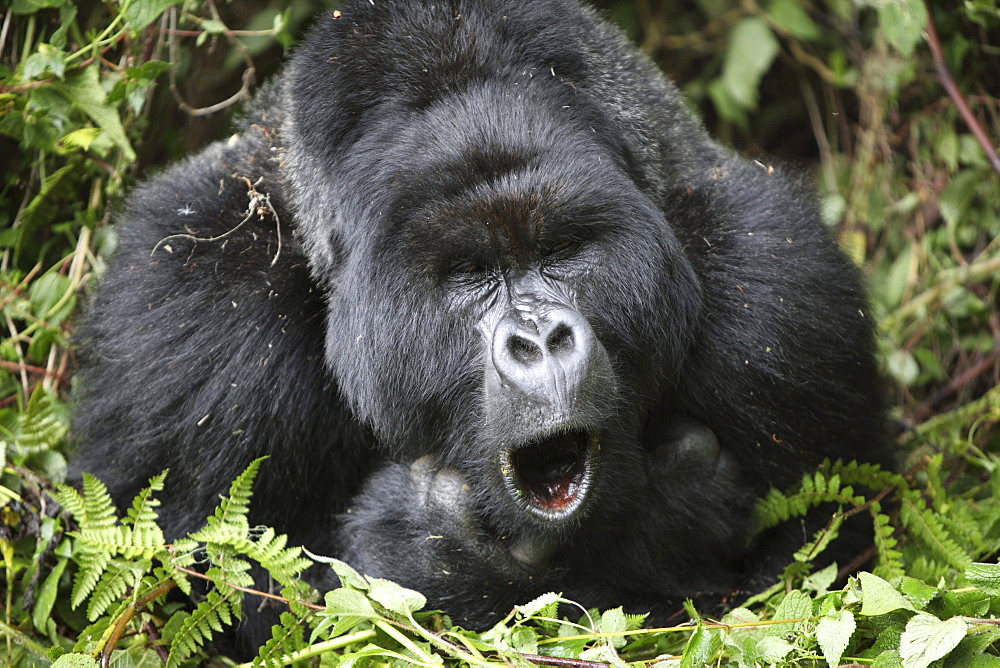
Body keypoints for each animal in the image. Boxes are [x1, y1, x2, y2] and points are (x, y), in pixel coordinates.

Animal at [72, 0, 892, 652]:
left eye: (561, 252)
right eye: (468, 273)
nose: (539, 340)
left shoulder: (779, 297)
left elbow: (816, 574)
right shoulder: (193, 322)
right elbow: (228, 604)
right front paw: (432, 550)